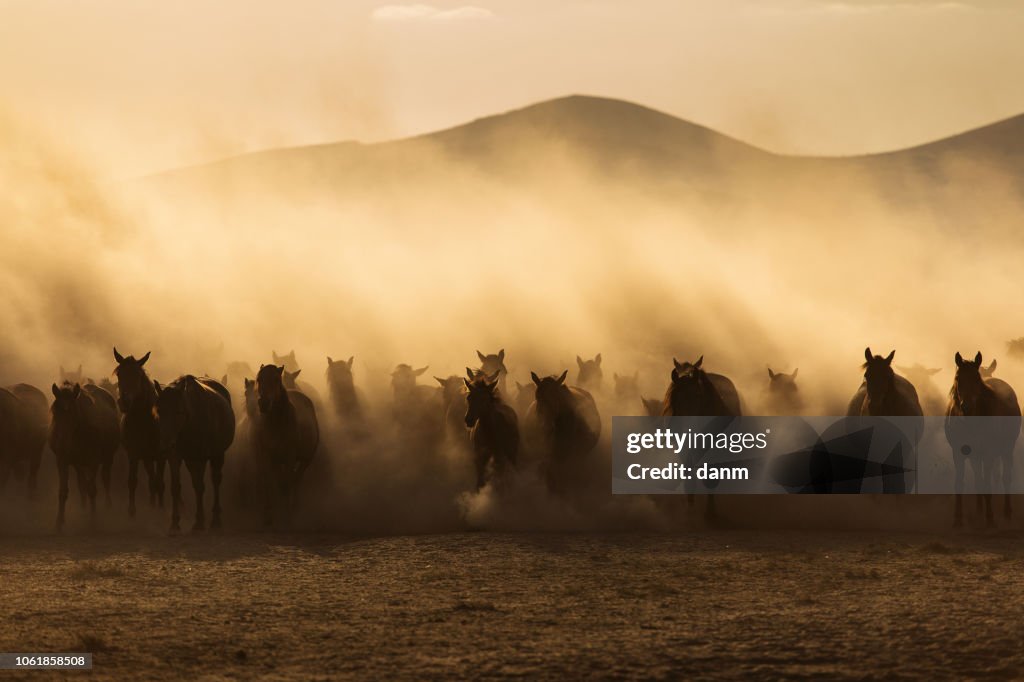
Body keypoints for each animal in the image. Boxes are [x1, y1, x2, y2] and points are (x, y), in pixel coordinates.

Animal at [48, 378, 119, 528]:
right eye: (55, 414)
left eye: (73, 414)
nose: (62, 444)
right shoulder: (62, 461)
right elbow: (64, 491)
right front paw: (59, 522)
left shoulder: (93, 462)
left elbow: (92, 489)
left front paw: (93, 520)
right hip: (78, 464)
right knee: (82, 484)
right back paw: (83, 507)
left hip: (108, 458)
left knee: (105, 479)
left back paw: (107, 506)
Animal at [113, 348, 164, 512]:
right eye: (119, 374)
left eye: (138, 375)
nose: (124, 402)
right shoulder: (133, 454)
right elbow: (132, 481)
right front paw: (131, 510)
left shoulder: (161, 456)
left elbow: (160, 483)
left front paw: (161, 510)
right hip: (147, 458)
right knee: (151, 478)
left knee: (157, 481)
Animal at [154, 374, 234, 528]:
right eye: (159, 410)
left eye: (179, 411)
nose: (165, 445)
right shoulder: (175, 456)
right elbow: (175, 487)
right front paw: (175, 522)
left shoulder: (200, 458)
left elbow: (199, 486)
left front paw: (199, 520)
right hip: (190, 460)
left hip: (217, 455)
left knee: (215, 480)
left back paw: (216, 516)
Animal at [250, 364, 315, 522]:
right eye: (259, 379)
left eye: (276, 379)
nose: (264, 404)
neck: (276, 424)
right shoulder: (268, 456)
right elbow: (270, 481)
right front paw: (268, 514)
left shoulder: (289, 457)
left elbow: (287, 482)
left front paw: (287, 515)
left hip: (306, 459)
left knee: (297, 479)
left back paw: (296, 506)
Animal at [946, 350, 1019, 524]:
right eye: (958, 378)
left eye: (976, 379)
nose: (966, 406)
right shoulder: (958, 453)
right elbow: (960, 483)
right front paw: (958, 518)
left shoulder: (988, 454)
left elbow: (987, 484)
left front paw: (990, 517)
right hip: (976, 456)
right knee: (980, 479)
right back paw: (979, 511)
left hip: (1007, 449)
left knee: (1006, 477)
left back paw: (1007, 512)